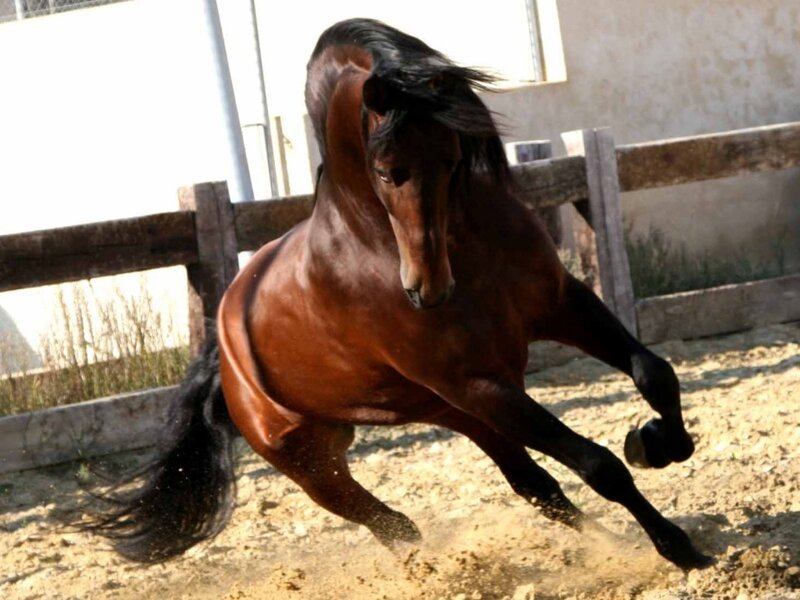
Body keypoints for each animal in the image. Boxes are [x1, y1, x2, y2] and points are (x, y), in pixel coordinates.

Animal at [84, 18, 714, 572]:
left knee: (536, 489)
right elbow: (598, 464)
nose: (426, 290)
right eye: (386, 170)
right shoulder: (478, 381)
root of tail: (225, 352)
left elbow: (655, 374)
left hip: (456, 413)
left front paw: (656, 443)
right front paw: (680, 548)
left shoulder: (562, 306)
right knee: (397, 525)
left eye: (454, 156)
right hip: (318, 463)